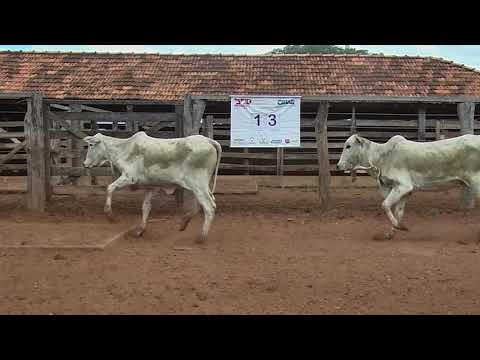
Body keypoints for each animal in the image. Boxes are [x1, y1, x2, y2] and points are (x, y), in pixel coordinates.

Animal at [83, 131, 223, 243]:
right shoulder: (151, 187)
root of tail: (209, 141)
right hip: (199, 186)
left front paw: (109, 215)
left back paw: (201, 237)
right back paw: (184, 222)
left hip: (198, 184)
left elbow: (110, 188)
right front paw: (140, 230)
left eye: (91, 145)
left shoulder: (129, 178)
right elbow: (146, 207)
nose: (85, 164)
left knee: (209, 206)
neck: (124, 149)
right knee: (203, 204)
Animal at [336, 133, 480, 239]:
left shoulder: (403, 186)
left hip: (476, 183)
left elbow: (385, 205)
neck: (383, 156)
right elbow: (398, 211)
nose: (338, 165)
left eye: (348, 146)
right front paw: (391, 232)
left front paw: (399, 226)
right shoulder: (405, 192)